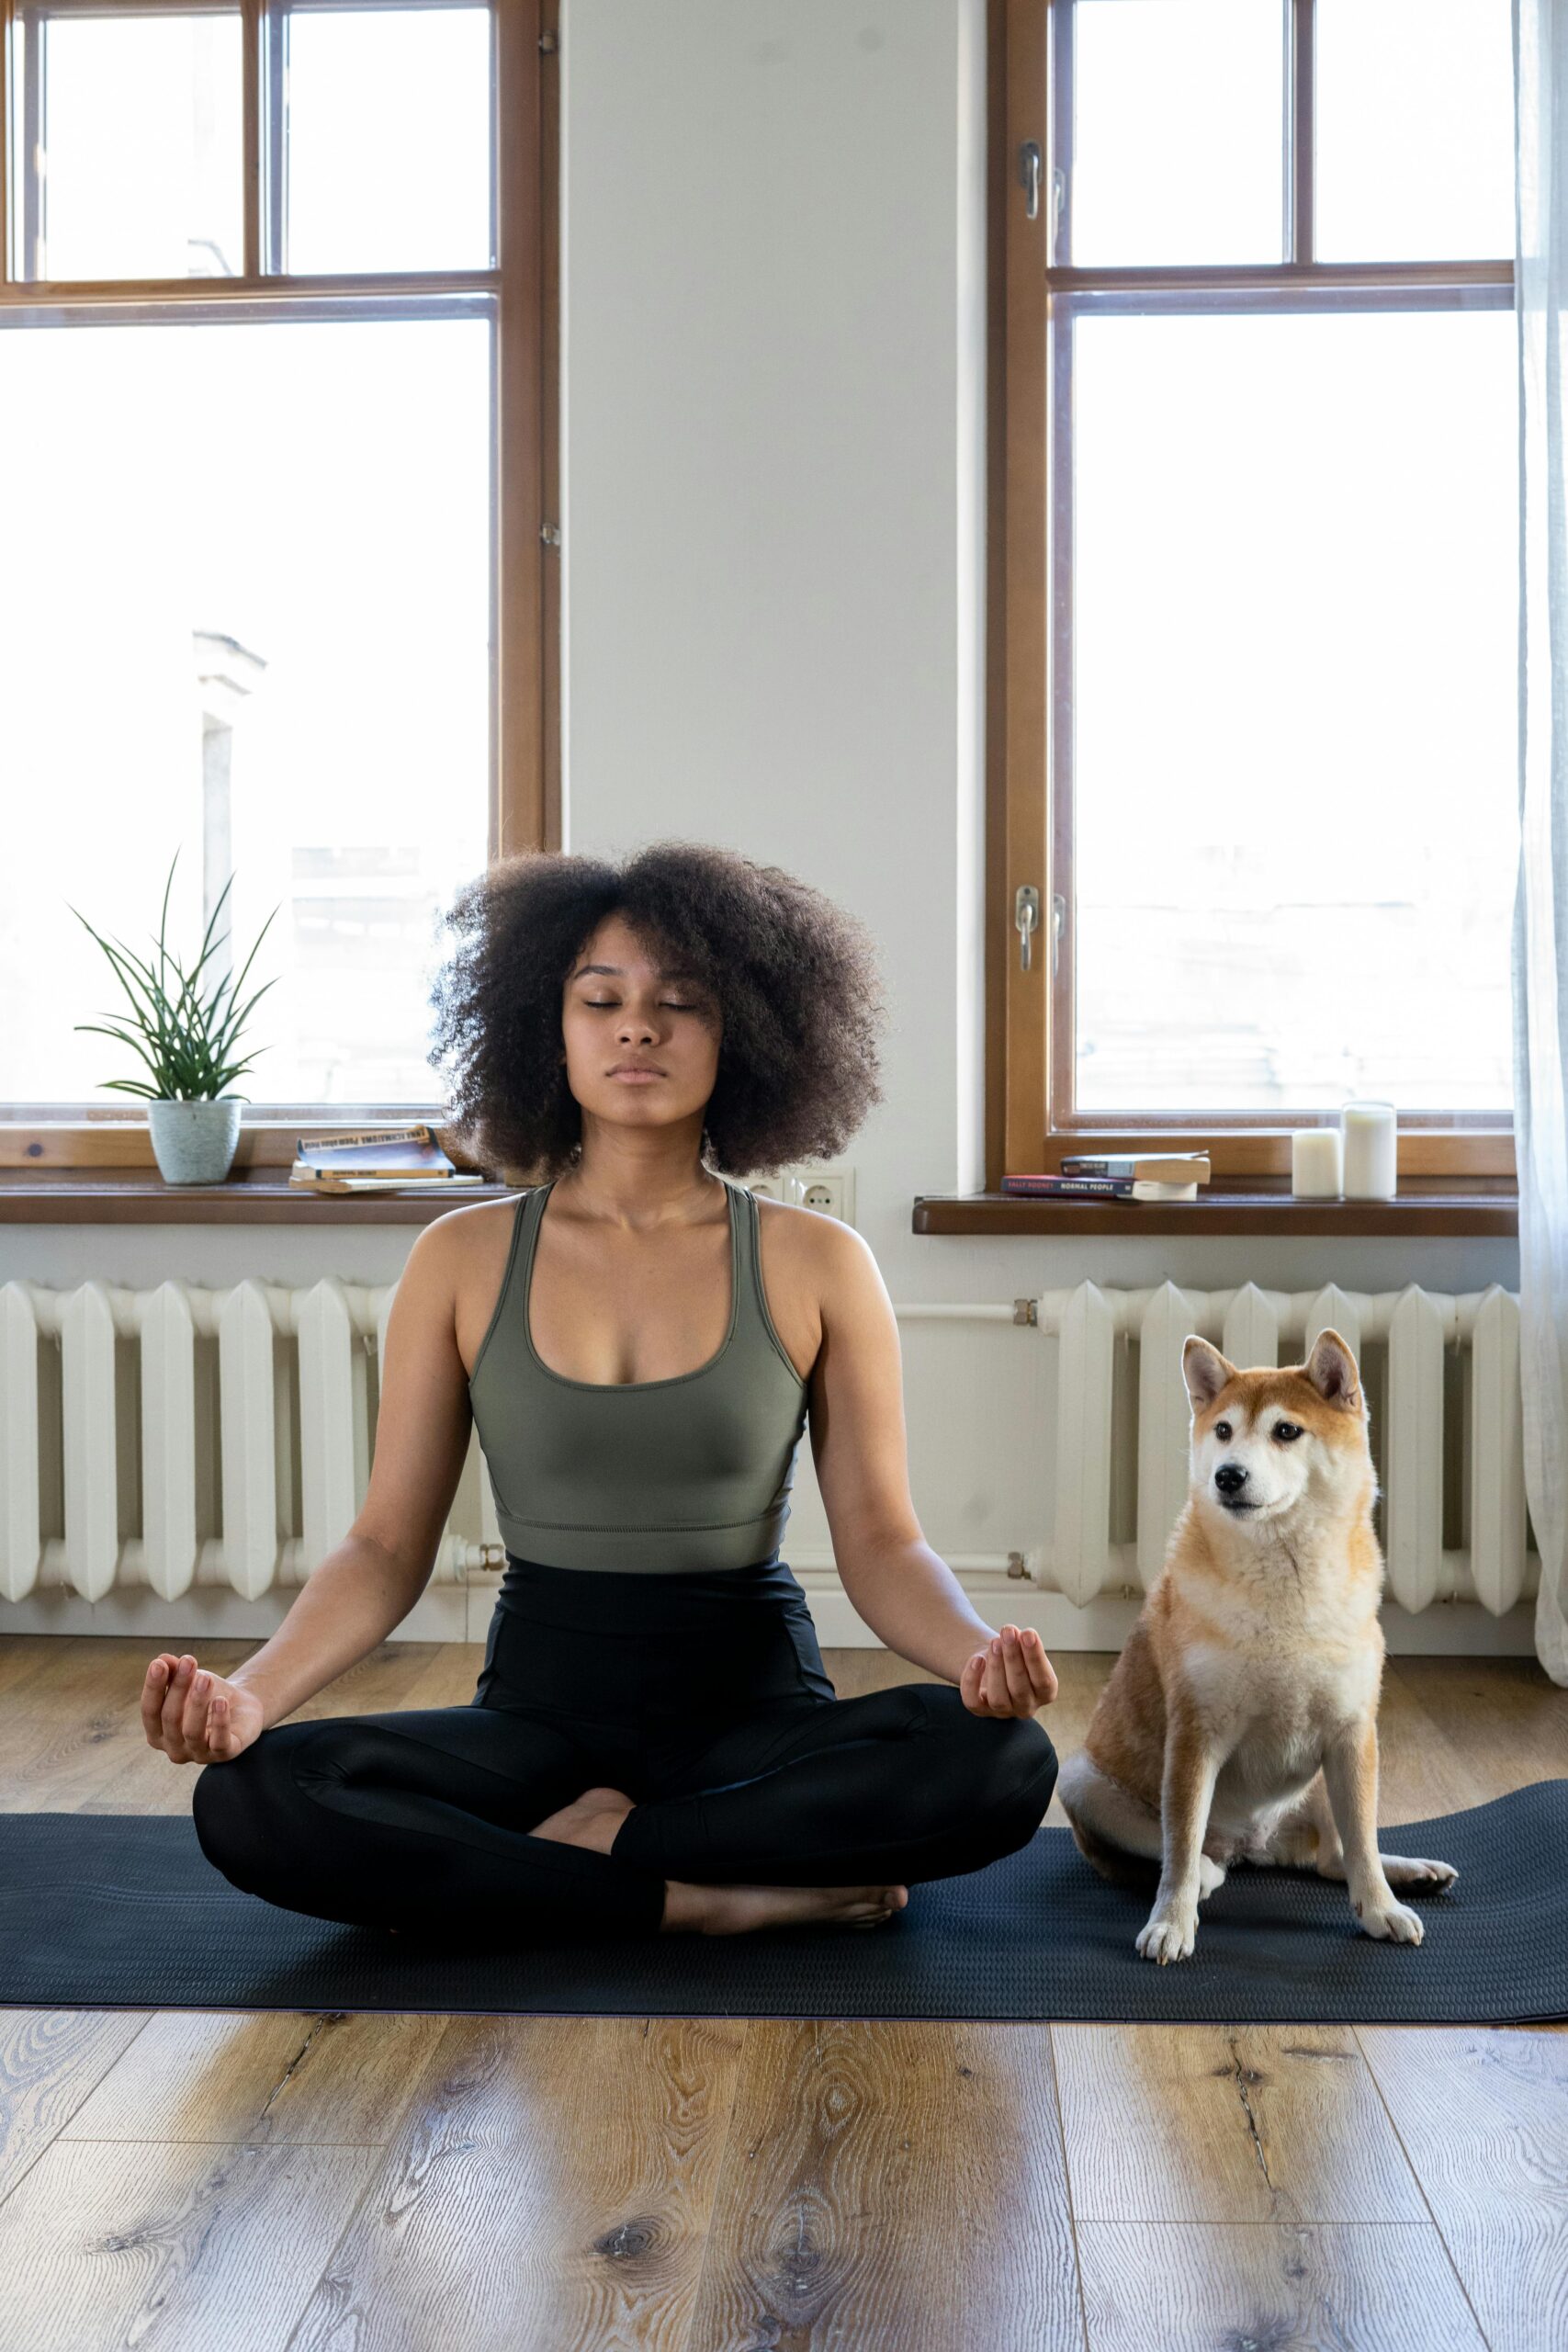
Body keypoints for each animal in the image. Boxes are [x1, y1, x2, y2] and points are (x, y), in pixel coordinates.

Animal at [1053, 1326, 1457, 1966]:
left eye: (1286, 1431)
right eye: (1223, 1431)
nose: (1228, 1475)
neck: (1284, 1586)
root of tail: (1254, 1846)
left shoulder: (1352, 1732)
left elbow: (1363, 1844)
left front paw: (1382, 1908)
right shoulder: (1195, 1735)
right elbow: (1180, 1846)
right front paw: (1171, 1922)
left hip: (1323, 1783)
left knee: (1335, 1856)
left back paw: (1410, 1872)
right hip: (1082, 1779)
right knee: (1187, 1857)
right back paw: (1207, 1875)